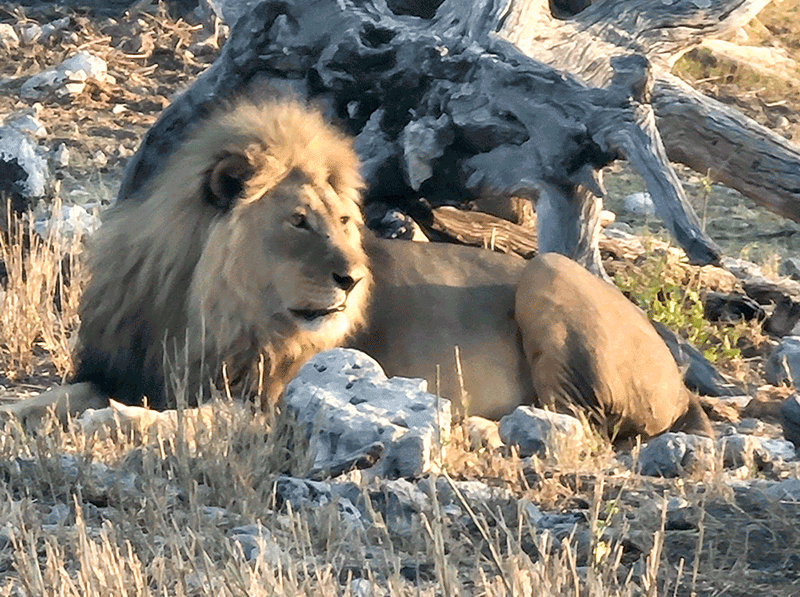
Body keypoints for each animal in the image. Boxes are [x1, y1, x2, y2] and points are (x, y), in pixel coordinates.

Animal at [1, 98, 712, 442]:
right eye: (298, 222)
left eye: (344, 222)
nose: (352, 280)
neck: (202, 306)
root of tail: (680, 378)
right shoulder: (125, 363)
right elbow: (52, 397)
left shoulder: (265, 399)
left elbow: (183, 419)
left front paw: (112, 422)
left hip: (550, 274)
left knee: (575, 424)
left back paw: (477, 426)